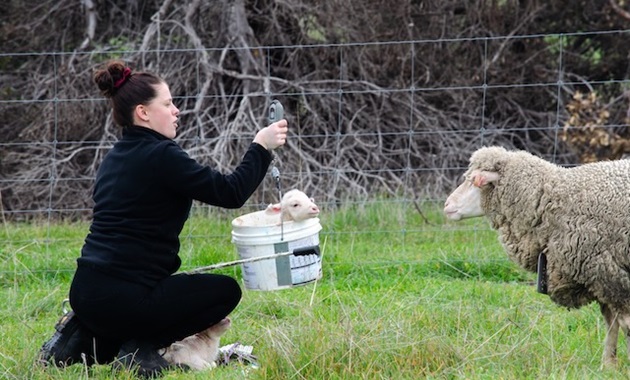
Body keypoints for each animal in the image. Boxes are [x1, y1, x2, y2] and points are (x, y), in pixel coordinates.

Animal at [444, 145, 630, 366]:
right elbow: (612, 323)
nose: (446, 205)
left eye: (473, 180)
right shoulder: (599, 277)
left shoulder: (609, 275)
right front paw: (608, 365)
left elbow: (624, 323)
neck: (553, 202)